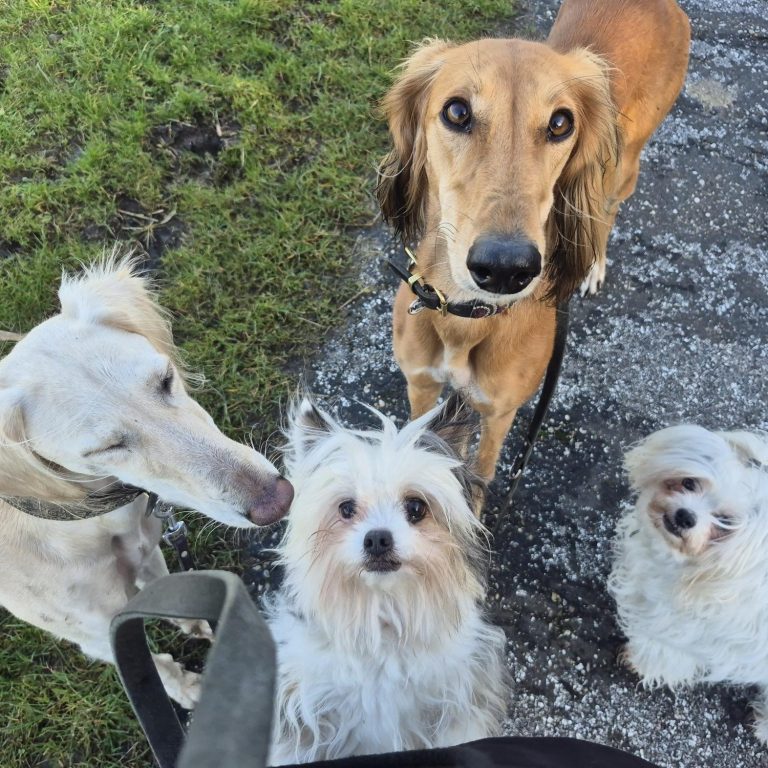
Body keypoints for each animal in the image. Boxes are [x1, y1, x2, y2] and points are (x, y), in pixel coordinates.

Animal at [0, 257, 293, 707]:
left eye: (166, 379)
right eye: (107, 447)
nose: (277, 500)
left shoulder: (148, 551)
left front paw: (198, 625)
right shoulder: (94, 633)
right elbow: (151, 667)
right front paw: (186, 688)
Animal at [378, 0, 690, 479]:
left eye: (560, 122)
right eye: (457, 112)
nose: (506, 269)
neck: (464, 316)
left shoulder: (499, 412)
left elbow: (482, 475)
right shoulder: (421, 386)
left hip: (621, 170)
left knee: (604, 214)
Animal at [609, 425, 768, 745]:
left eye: (725, 520)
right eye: (689, 482)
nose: (685, 516)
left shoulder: (683, 632)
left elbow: (663, 652)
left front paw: (640, 663)